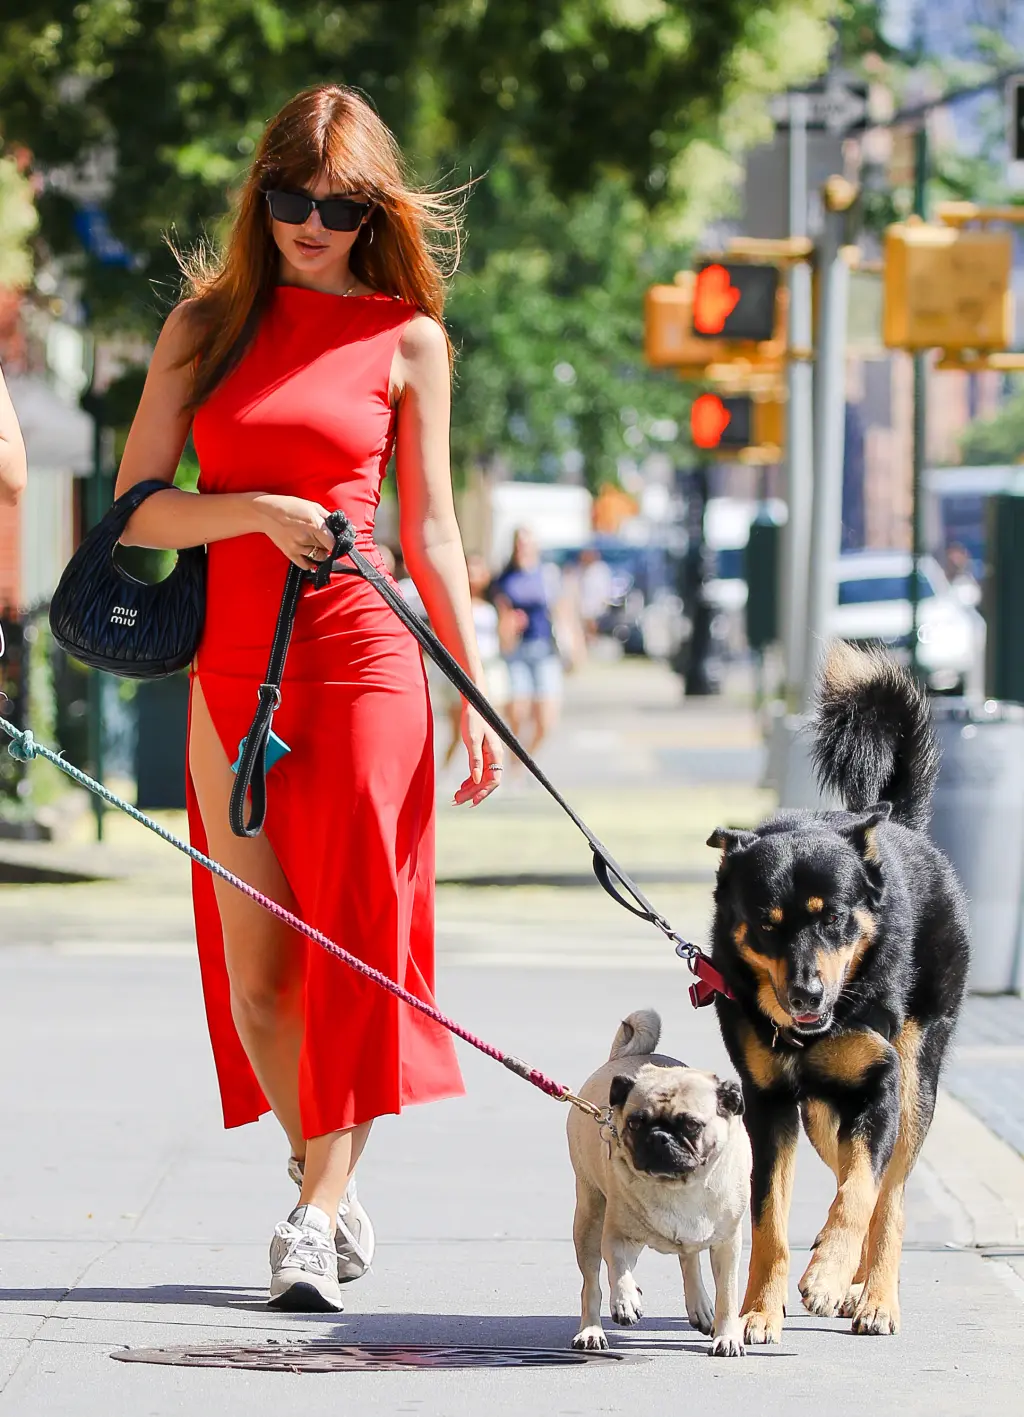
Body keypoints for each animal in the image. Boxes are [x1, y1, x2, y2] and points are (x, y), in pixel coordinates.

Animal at [708, 643, 963, 1337]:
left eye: (835, 918)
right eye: (767, 924)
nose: (805, 994)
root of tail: (903, 827)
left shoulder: (880, 1087)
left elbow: (860, 1194)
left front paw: (826, 1276)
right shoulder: (770, 1107)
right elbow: (770, 1220)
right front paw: (758, 1311)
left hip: (913, 1082)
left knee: (889, 1193)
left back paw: (874, 1296)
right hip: (823, 1114)